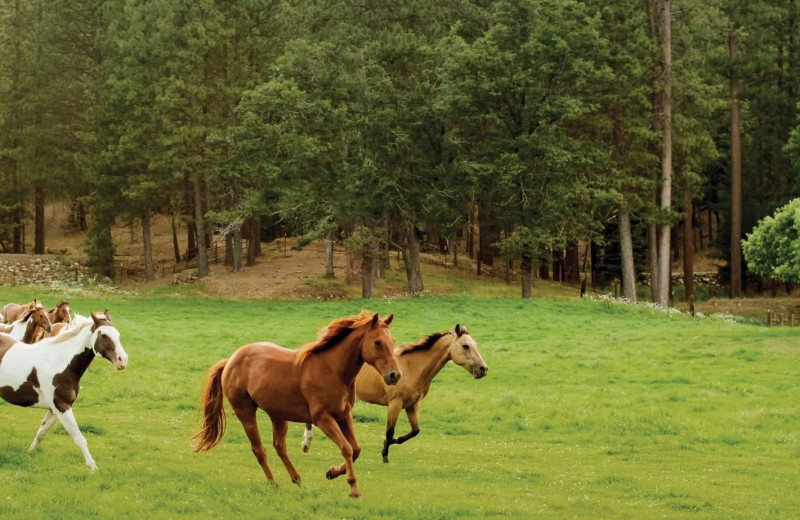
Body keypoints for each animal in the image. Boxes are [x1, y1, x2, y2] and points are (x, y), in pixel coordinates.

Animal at [191, 310, 404, 498]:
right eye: (378, 342)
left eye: (392, 341)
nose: (395, 375)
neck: (332, 369)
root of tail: (230, 360)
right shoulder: (323, 419)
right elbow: (346, 448)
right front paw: (353, 488)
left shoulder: (343, 415)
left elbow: (356, 449)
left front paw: (332, 472)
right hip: (246, 411)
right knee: (259, 449)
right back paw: (274, 483)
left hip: (278, 415)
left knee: (279, 446)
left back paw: (297, 479)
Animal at [302, 324, 484, 464]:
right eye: (465, 346)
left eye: (475, 344)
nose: (483, 369)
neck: (412, 367)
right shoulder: (395, 403)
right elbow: (390, 431)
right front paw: (385, 454)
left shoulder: (412, 405)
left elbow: (415, 431)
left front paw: (391, 443)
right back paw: (306, 443)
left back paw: (306, 444)